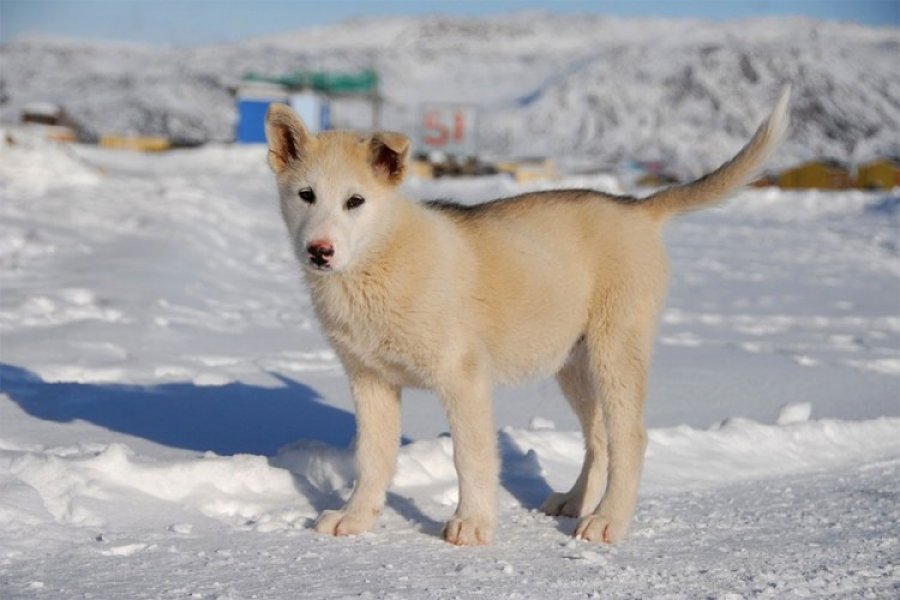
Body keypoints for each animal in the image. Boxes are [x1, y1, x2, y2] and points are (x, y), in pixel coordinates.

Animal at [264, 86, 792, 548]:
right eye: (306, 195)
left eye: (355, 201)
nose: (319, 251)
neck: (381, 260)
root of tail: (637, 208)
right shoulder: (370, 380)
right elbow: (372, 458)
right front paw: (355, 518)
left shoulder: (464, 378)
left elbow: (470, 456)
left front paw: (472, 524)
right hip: (573, 364)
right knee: (599, 438)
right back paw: (577, 502)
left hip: (615, 350)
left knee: (629, 438)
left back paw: (608, 521)